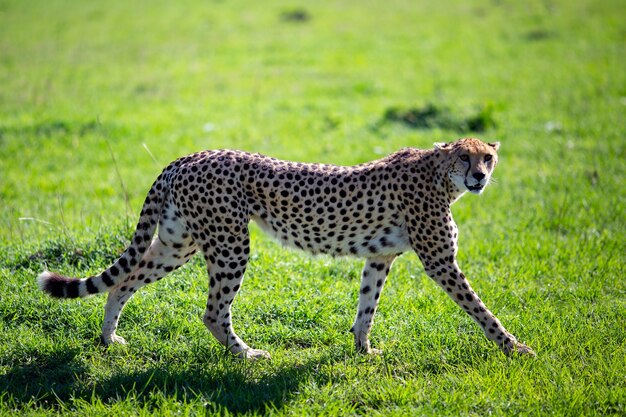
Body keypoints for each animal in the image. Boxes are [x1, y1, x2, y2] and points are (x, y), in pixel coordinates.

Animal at [37, 136, 532, 358]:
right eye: (464, 157)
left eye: (488, 157)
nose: (479, 177)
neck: (438, 174)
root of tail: (189, 156)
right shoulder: (440, 261)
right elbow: (481, 309)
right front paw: (515, 348)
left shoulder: (379, 257)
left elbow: (366, 307)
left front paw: (363, 350)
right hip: (230, 243)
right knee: (212, 311)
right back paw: (245, 354)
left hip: (178, 243)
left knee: (124, 282)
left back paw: (108, 338)